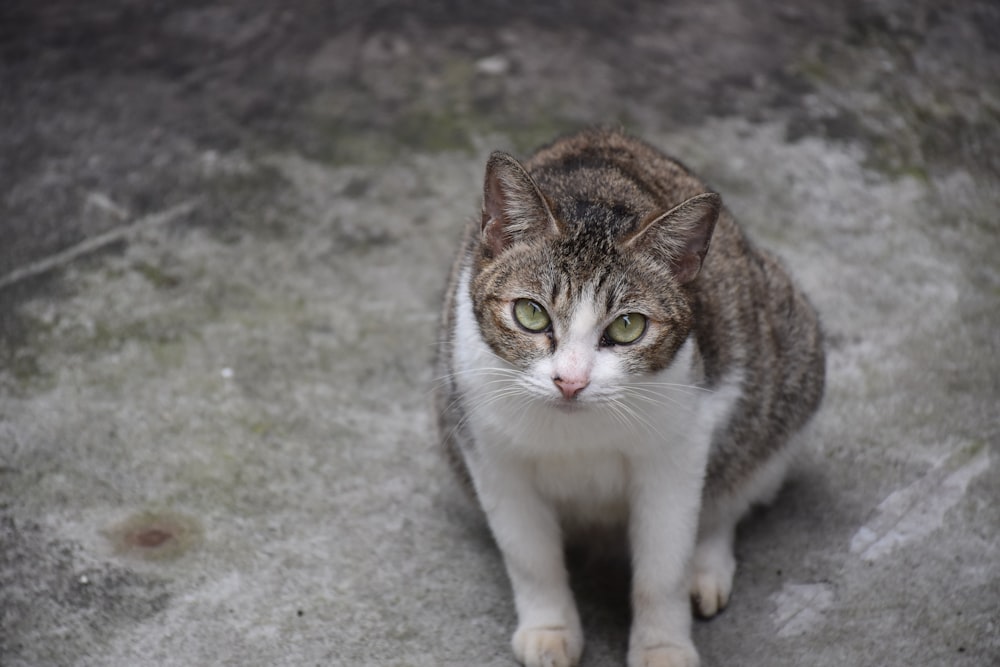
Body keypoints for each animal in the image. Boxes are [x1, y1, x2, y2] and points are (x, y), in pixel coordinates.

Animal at [434, 126, 824, 667]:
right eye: (531, 314)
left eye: (627, 326)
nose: (570, 380)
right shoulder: (488, 448)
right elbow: (530, 555)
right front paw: (549, 627)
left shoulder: (677, 447)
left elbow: (663, 566)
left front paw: (662, 645)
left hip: (789, 358)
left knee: (734, 483)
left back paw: (707, 564)